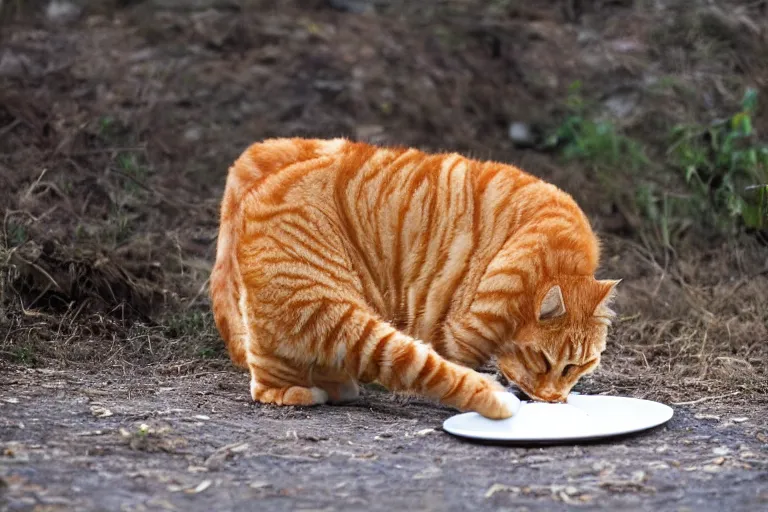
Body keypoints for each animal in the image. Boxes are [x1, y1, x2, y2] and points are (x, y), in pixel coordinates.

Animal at [210, 138, 616, 418]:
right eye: (546, 362)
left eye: (579, 366)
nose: (553, 399)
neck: (558, 261)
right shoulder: (459, 331)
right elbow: (448, 362)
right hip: (330, 307)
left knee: (268, 365)